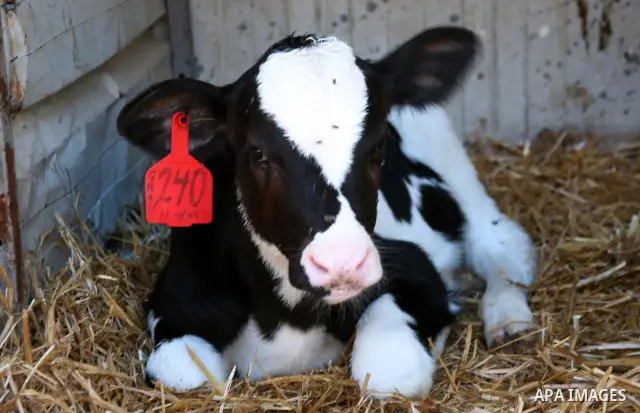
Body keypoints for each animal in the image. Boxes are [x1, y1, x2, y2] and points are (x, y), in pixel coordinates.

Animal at [116, 26, 536, 399]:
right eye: (258, 153)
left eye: (379, 143)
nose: (342, 263)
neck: (290, 319)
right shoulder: (175, 301)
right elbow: (186, 378)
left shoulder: (417, 273)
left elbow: (388, 370)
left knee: (498, 243)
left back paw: (508, 318)